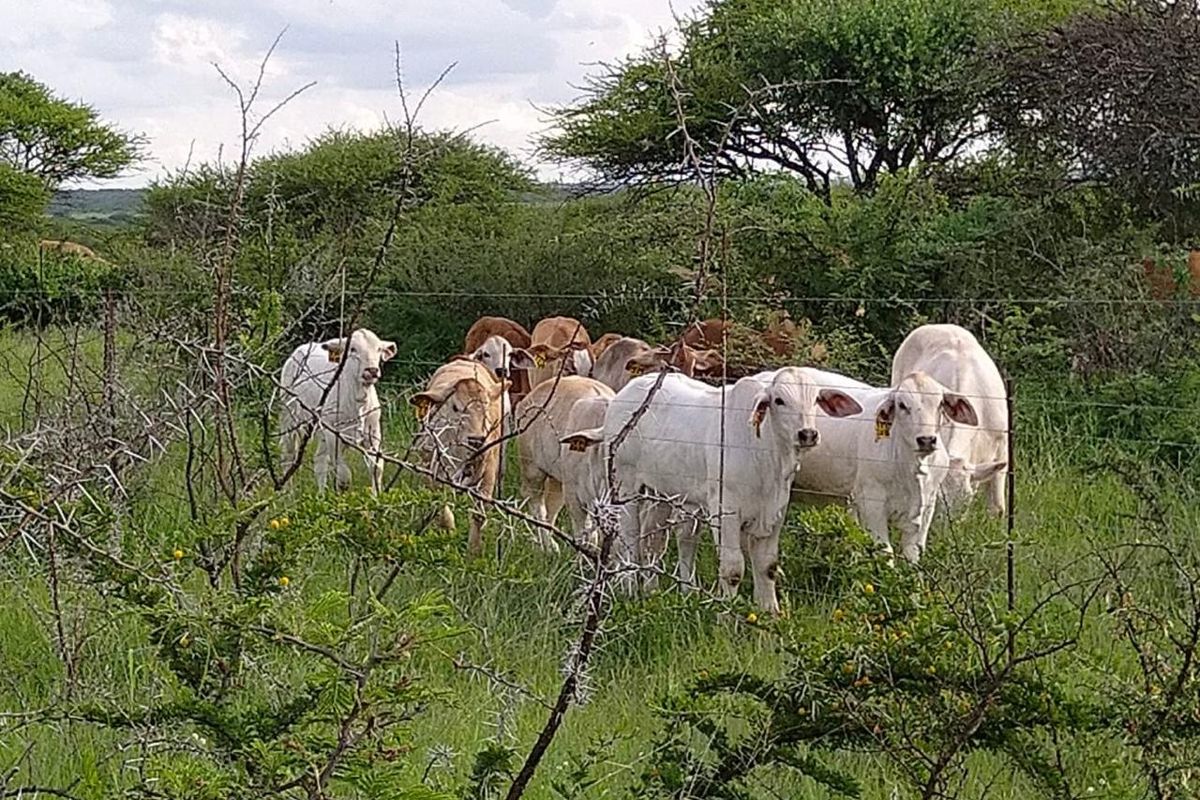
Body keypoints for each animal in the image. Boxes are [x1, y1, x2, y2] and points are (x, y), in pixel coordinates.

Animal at [279, 328, 397, 494]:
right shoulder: (333, 435)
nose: (372, 370)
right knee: (288, 455)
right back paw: (288, 494)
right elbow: (343, 476)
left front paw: (376, 496)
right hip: (289, 416)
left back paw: (321, 496)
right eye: (353, 349)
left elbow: (377, 468)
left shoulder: (373, 432)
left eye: (379, 349)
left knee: (319, 460)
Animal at [409, 359, 507, 556]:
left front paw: (473, 552)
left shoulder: (488, 473)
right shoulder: (435, 474)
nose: (477, 439)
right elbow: (444, 515)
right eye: (455, 407)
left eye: (486, 406)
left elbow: (478, 515)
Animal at [514, 375, 615, 548]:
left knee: (552, 505)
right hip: (532, 469)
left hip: (558, 477)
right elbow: (584, 537)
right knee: (537, 504)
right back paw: (547, 546)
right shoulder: (574, 497)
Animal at [561, 368, 862, 614]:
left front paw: (770, 614)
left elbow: (767, 567)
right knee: (630, 540)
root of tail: (619, 400)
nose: (808, 434)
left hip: (661, 493)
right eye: (779, 400)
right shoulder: (726, 512)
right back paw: (630, 590)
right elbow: (732, 569)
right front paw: (727, 616)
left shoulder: (775, 512)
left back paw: (653, 591)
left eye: (815, 400)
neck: (766, 454)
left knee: (654, 541)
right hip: (626, 487)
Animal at [794, 369, 992, 563]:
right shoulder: (871, 502)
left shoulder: (927, 506)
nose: (926, 439)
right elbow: (885, 552)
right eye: (902, 405)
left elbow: (913, 552)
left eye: (940, 404)